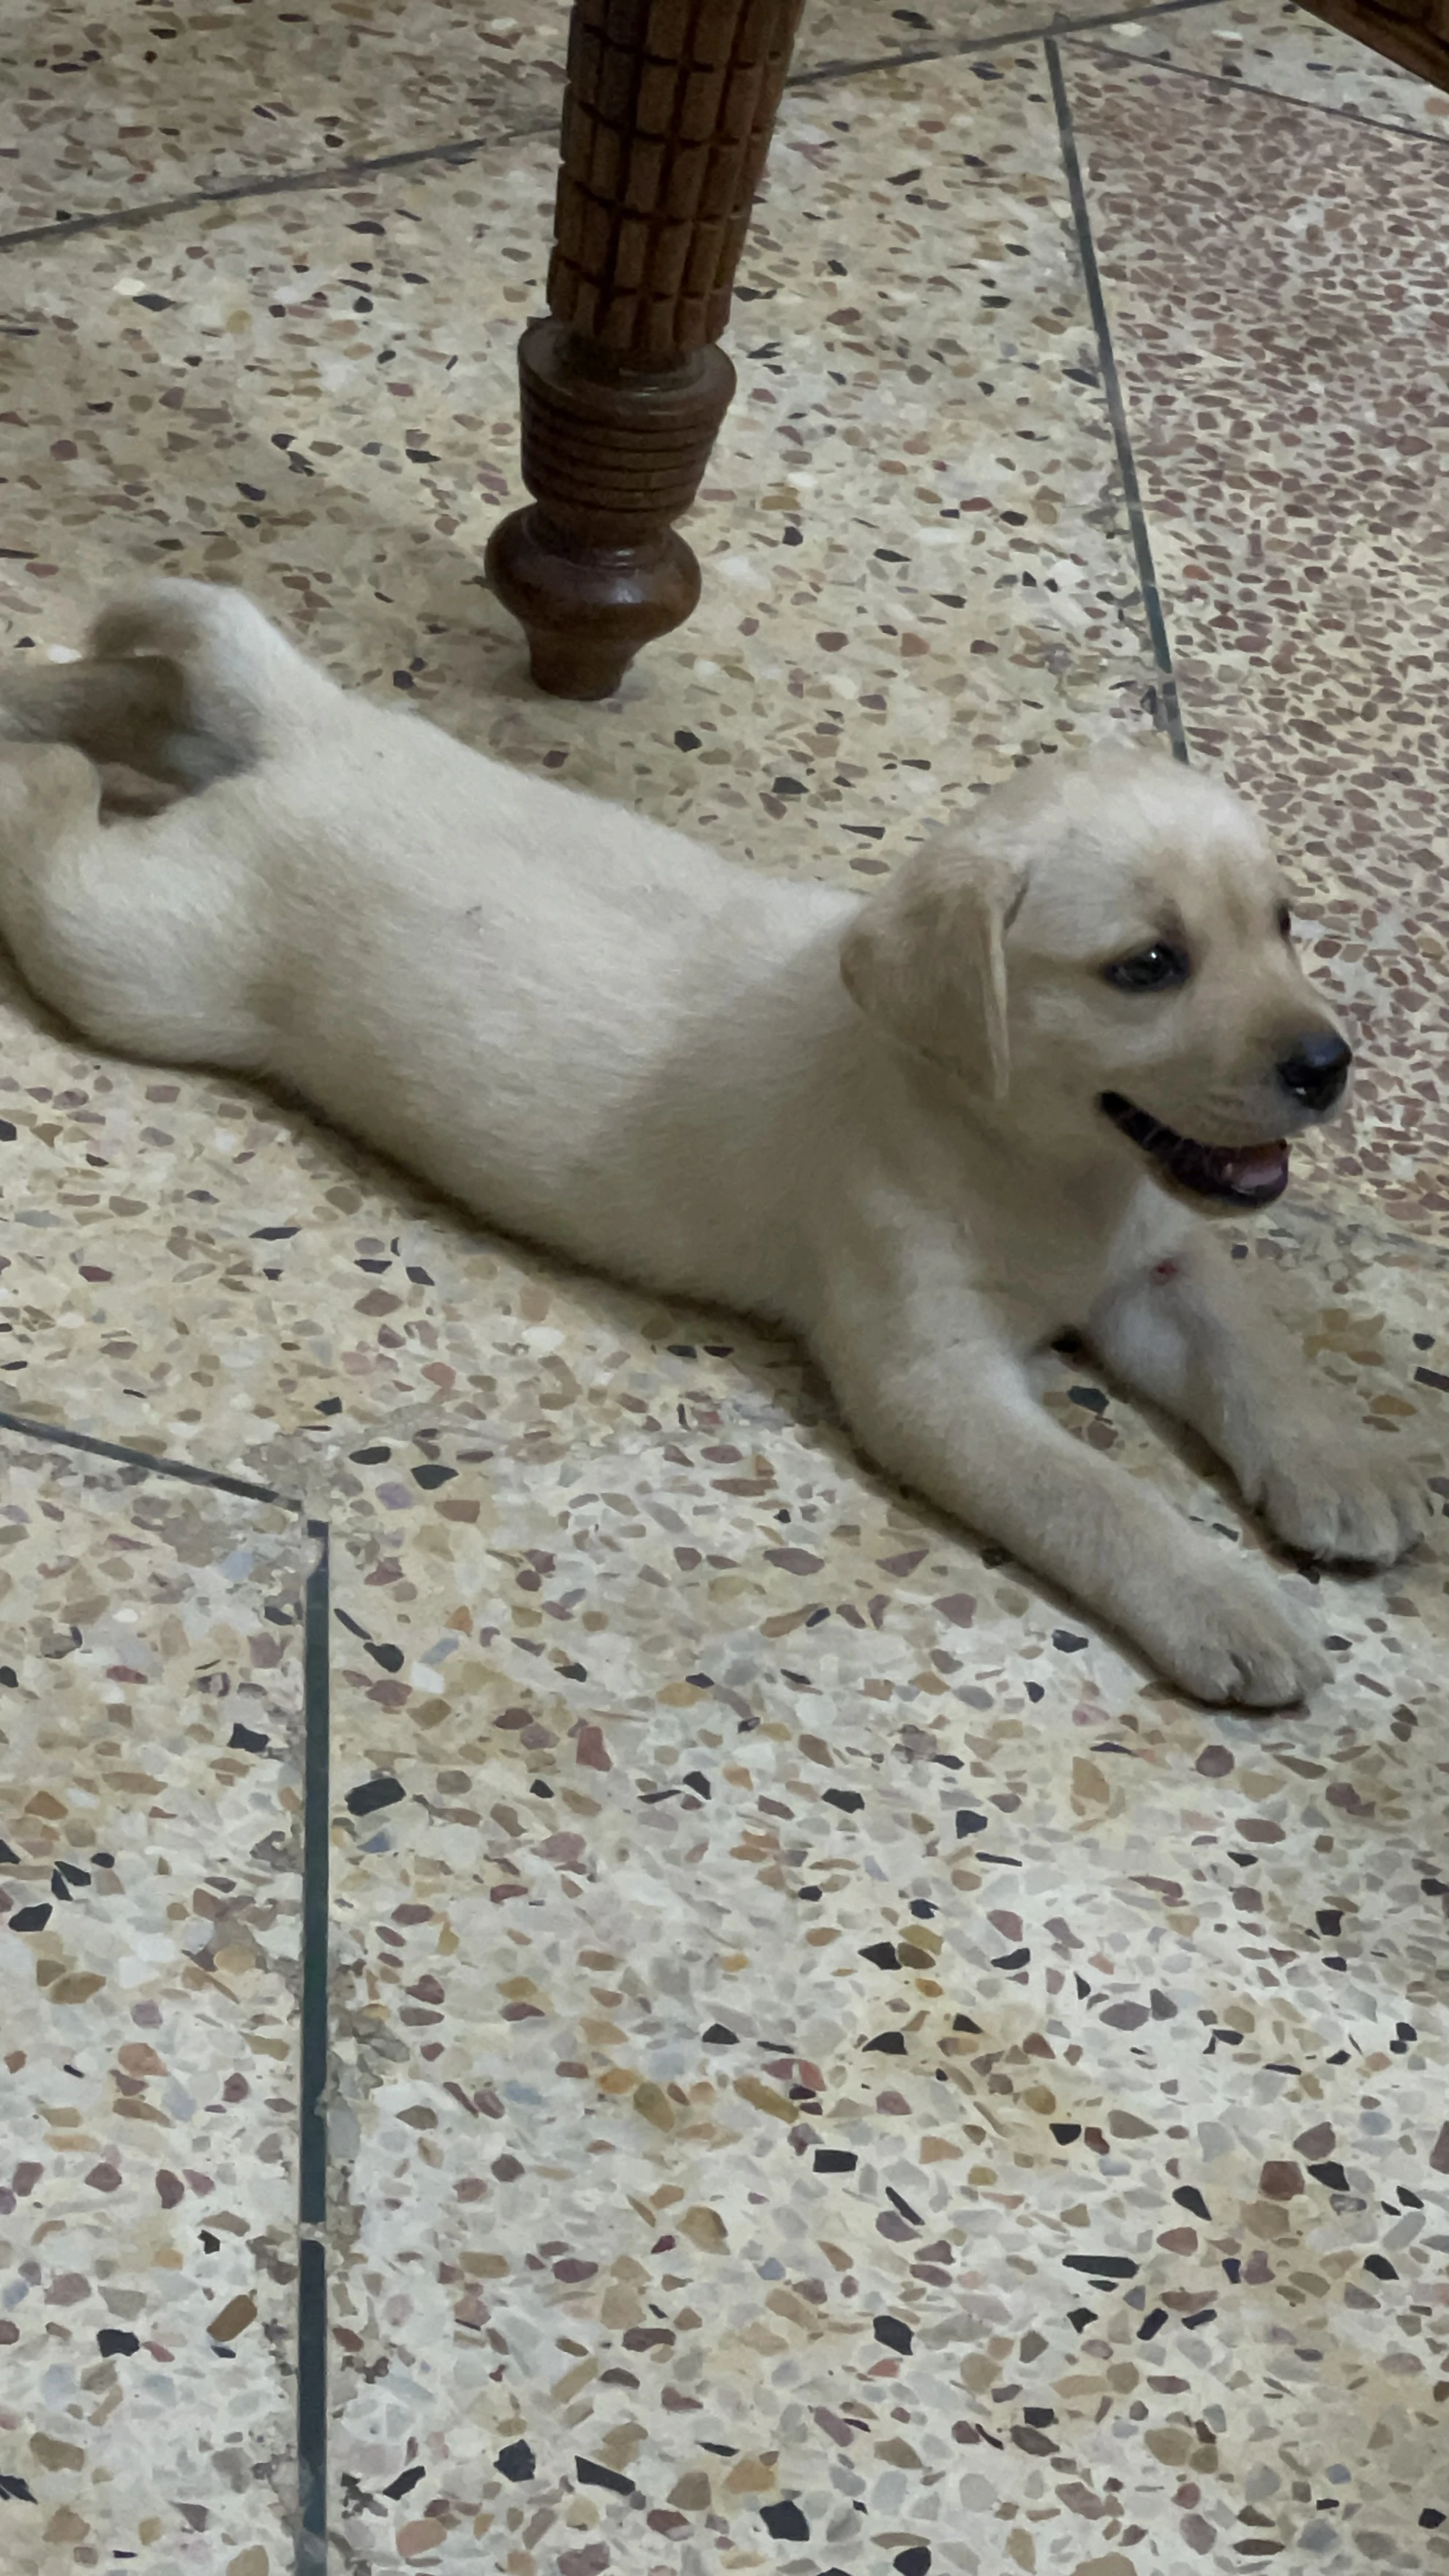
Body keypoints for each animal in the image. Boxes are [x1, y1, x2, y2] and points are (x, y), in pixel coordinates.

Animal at [0, 590, 1423, 1710]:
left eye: (1283, 925)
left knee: (161, 695)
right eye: (1149, 967)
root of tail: (320, 735)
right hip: (140, 958)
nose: (1329, 1065)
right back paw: (38, 758)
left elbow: (1253, 1347)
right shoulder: (930, 1374)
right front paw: (1225, 1604)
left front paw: (1346, 1468)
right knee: (65, 836)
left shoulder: (1162, 1266)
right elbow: (1094, 1494)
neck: (1038, 1159)